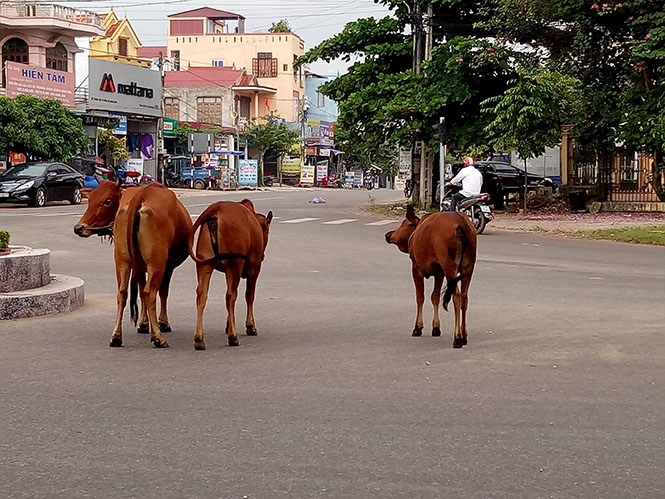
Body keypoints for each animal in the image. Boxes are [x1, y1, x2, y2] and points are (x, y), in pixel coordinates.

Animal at [73, 182, 192, 350]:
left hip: (122, 260)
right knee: (150, 293)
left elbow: (140, 291)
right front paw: (163, 323)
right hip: (157, 262)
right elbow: (162, 292)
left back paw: (116, 337)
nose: (79, 228)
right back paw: (158, 338)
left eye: (107, 201)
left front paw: (143, 323)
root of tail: (141, 194)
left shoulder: (138, 266)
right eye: (89, 201)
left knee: (122, 293)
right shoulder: (167, 265)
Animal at [188, 199, 272, 352]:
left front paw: (229, 324)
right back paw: (233, 337)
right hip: (235, 262)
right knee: (230, 296)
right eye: (267, 230)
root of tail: (217, 208)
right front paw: (250, 326)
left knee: (202, 295)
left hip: (204, 263)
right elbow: (249, 296)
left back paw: (199, 339)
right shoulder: (255, 268)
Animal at [384, 205, 478, 350]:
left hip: (449, 267)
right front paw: (436, 327)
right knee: (464, 297)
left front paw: (418, 327)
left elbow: (420, 297)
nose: (388, 235)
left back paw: (457, 338)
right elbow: (435, 297)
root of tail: (461, 223)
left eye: (404, 224)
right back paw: (464, 335)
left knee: (456, 296)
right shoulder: (439, 273)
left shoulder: (416, 268)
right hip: (468, 268)